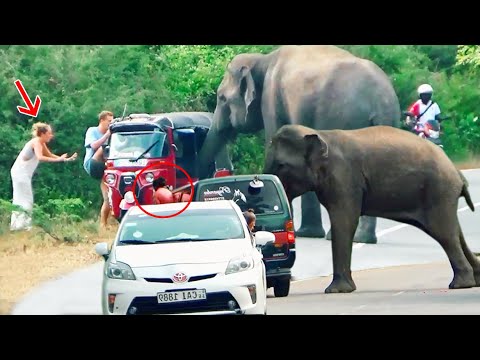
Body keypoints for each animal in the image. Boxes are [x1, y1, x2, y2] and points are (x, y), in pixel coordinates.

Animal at [196, 43, 402, 243]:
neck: (264, 60)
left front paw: (302, 232)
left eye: (221, 98)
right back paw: (364, 239)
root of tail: (381, 101)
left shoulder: (271, 101)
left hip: (345, 120)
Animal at [264, 123, 478, 292]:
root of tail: (457, 172)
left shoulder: (344, 178)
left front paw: (337, 291)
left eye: (281, 165)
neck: (320, 134)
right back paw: (475, 280)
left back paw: (461, 284)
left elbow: (345, 222)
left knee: (444, 234)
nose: (292, 277)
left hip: (438, 190)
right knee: (454, 232)